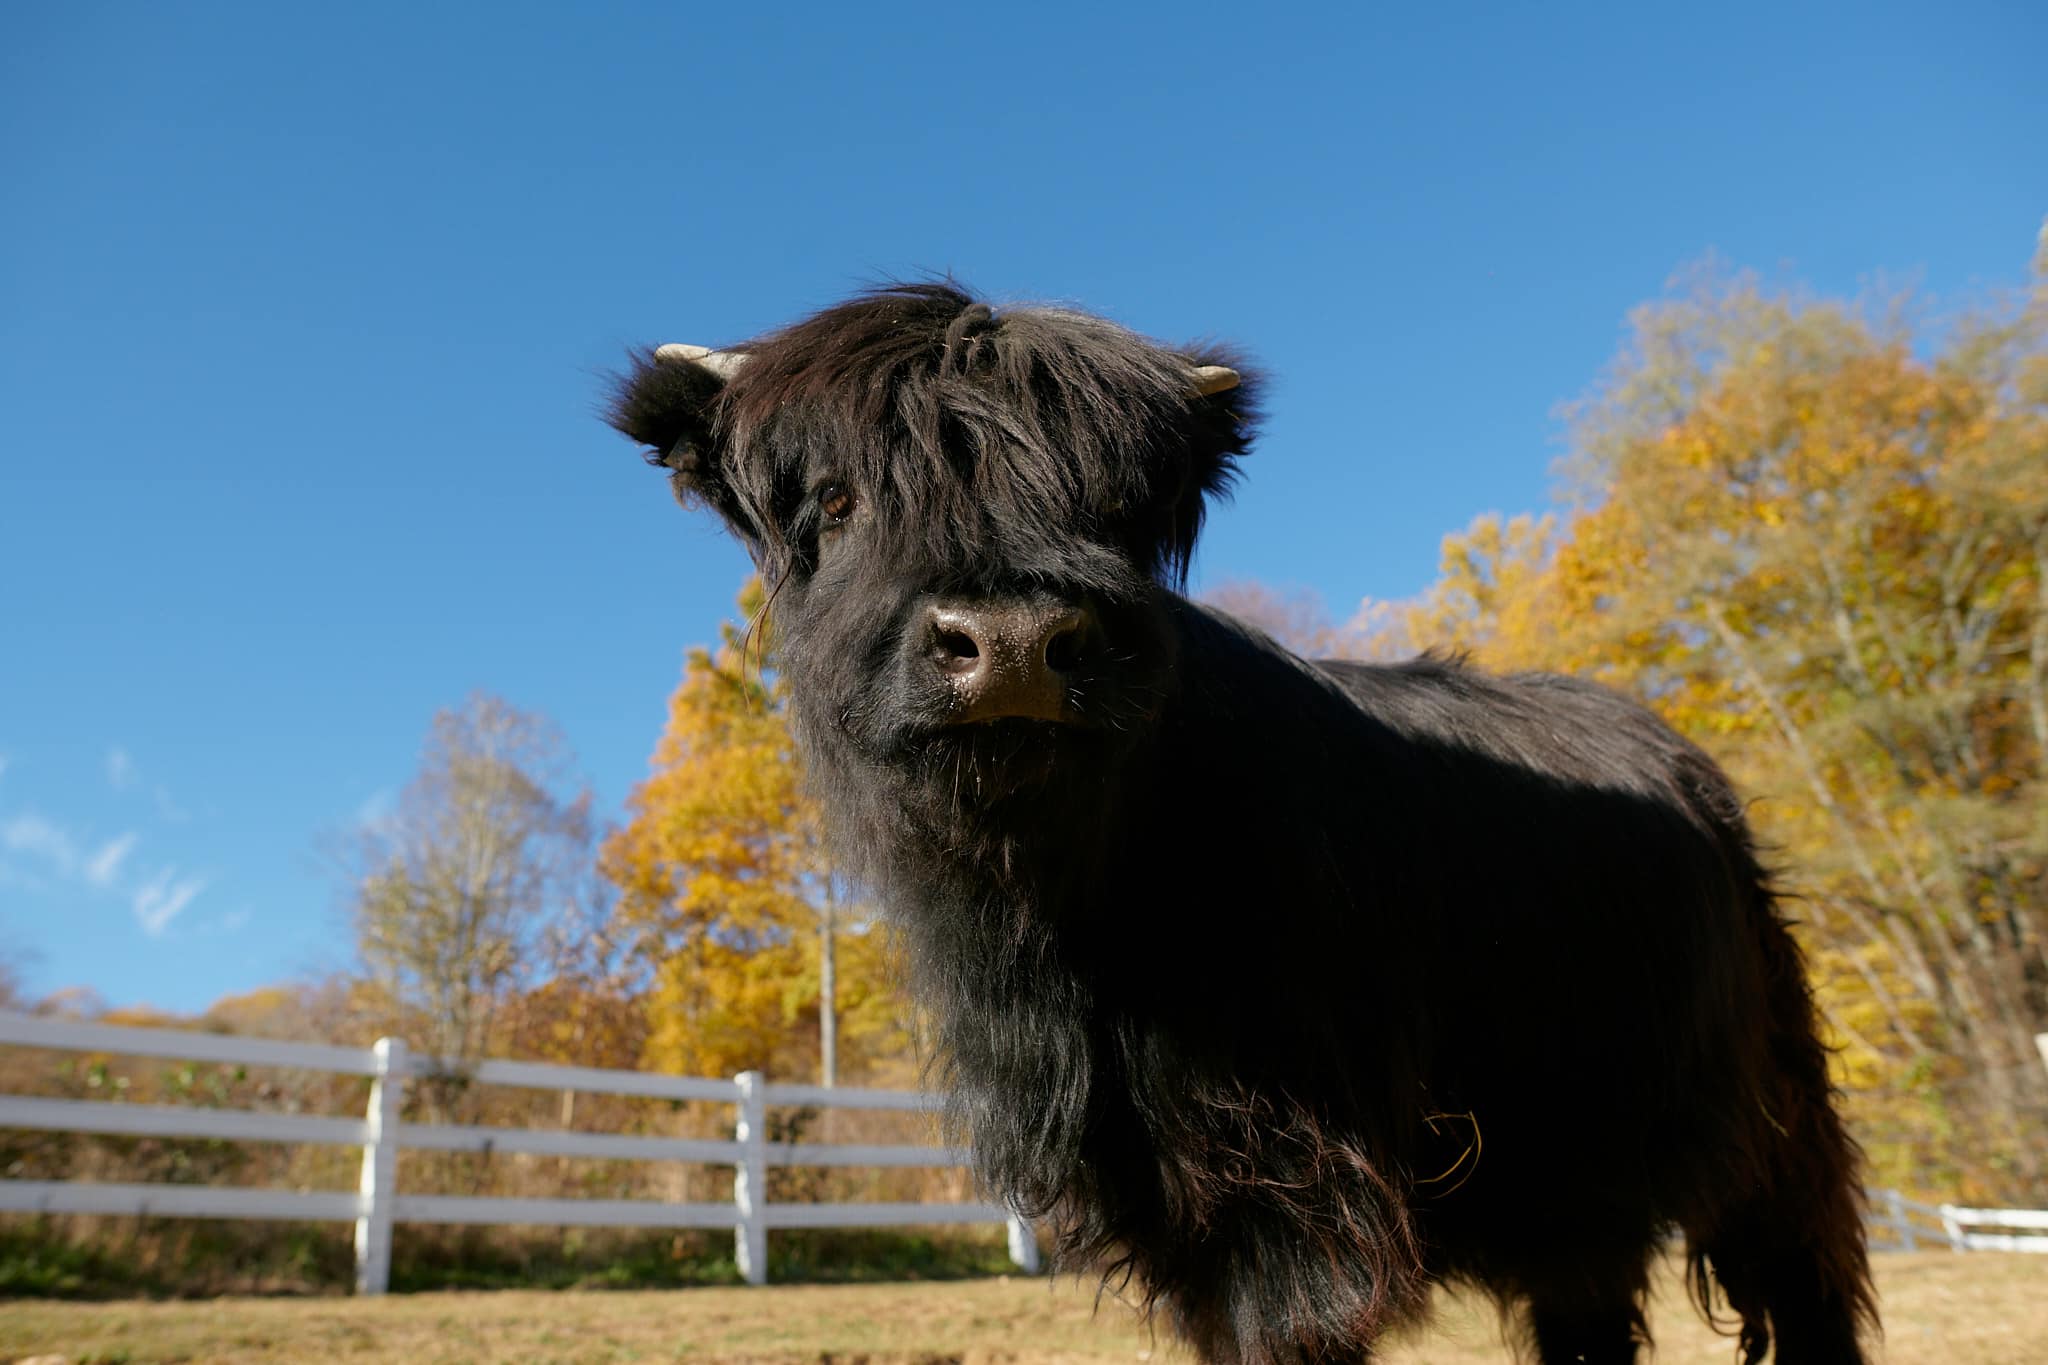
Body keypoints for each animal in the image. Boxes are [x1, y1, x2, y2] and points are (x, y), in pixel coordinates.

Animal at [606, 282, 1875, 1364]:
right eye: (839, 499)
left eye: (1112, 510)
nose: (1013, 643)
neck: (1065, 928)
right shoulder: (1165, 1197)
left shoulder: (1296, 1183)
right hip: (1570, 1168)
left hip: (1769, 1127)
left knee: (1802, 1283)